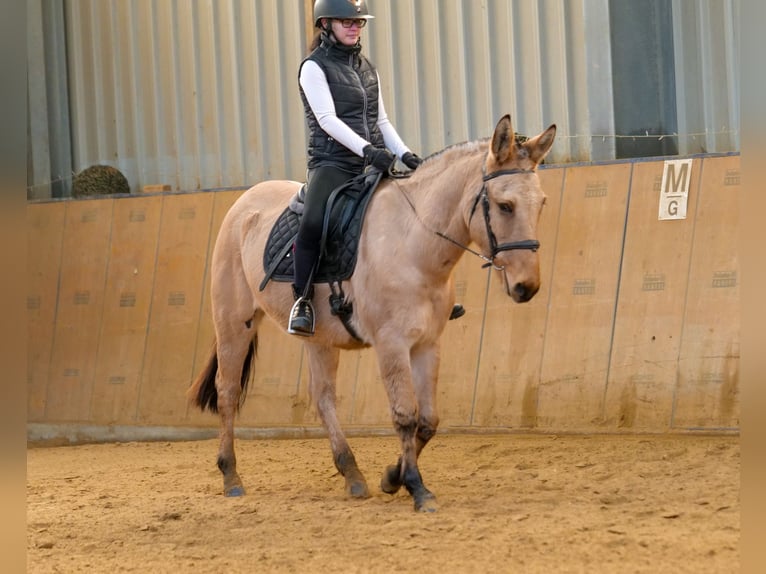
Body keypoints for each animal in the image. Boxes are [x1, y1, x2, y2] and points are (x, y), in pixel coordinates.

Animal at [188, 116, 560, 512]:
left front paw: (392, 477)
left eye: (541, 204)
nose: (526, 287)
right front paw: (416, 488)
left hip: (318, 338)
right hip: (233, 323)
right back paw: (231, 476)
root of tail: (244, 202)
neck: (413, 243)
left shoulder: (427, 343)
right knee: (227, 391)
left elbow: (429, 420)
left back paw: (352, 474)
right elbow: (405, 416)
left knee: (322, 396)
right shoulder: (391, 344)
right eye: (505, 206)